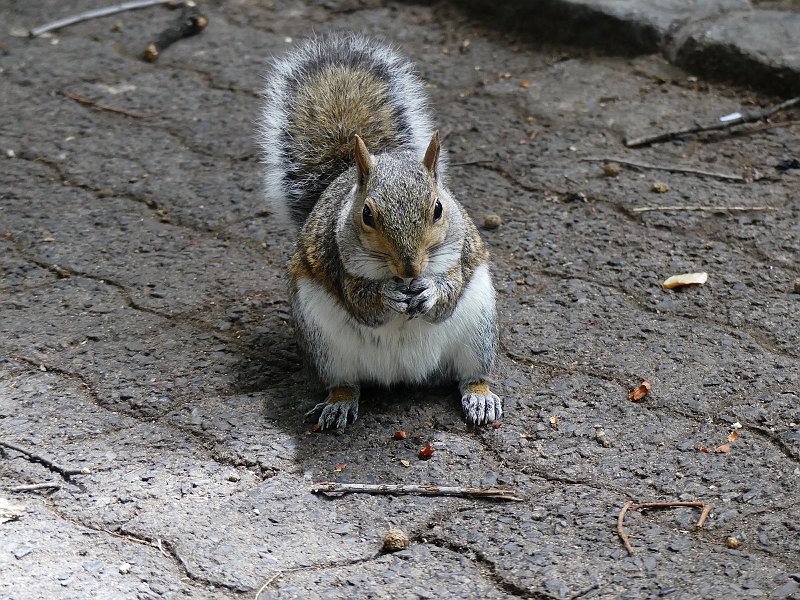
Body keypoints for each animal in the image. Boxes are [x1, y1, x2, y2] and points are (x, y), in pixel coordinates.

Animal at [260, 32, 500, 428]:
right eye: (367, 215)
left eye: (438, 208)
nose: (411, 269)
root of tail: (404, 375)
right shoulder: (336, 260)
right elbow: (361, 302)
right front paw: (386, 295)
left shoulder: (461, 252)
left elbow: (448, 292)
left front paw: (431, 290)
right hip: (325, 346)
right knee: (345, 382)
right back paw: (338, 403)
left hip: (478, 331)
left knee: (471, 374)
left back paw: (480, 396)